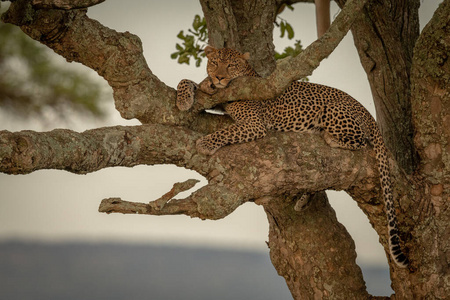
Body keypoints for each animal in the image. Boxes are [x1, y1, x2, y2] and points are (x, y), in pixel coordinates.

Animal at [178, 45, 410, 268]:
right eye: (215, 63)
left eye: (231, 65)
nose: (219, 77)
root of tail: (366, 111)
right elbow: (185, 80)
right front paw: (185, 98)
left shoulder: (255, 124)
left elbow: (226, 132)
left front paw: (205, 144)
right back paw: (304, 198)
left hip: (333, 110)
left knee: (360, 140)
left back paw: (329, 138)